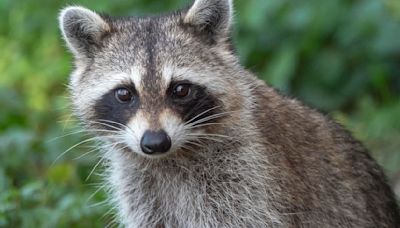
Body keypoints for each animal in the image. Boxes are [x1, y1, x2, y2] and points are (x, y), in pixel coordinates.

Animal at [59, 0, 400, 228]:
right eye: (124, 94)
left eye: (180, 90)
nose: (155, 143)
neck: (173, 157)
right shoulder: (143, 192)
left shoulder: (250, 179)